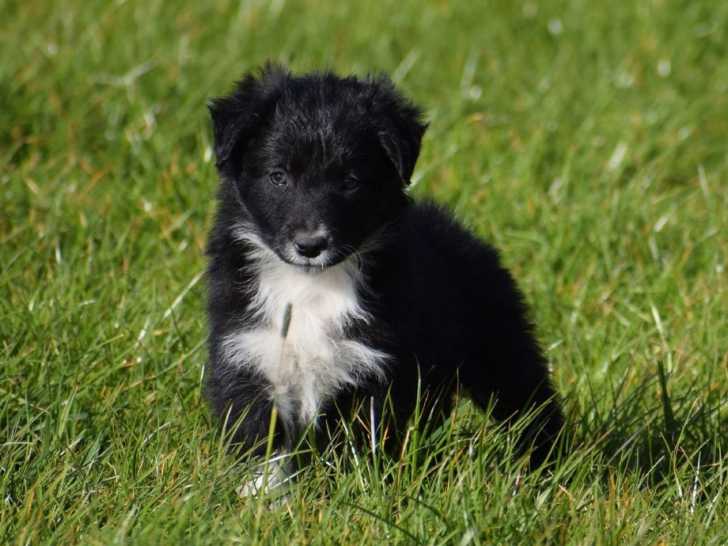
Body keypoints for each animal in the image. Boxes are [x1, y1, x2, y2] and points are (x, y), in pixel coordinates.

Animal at [204, 65, 563, 490]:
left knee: (529, 400)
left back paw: (545, 467)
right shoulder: (249, 353)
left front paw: (355, 489)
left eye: (350, 181)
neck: (311, 285)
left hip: (498, 342)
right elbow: (263, 436)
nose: (310, 244)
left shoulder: (373, 366)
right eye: (278, 177)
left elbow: (361, 439)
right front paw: (262, 495)